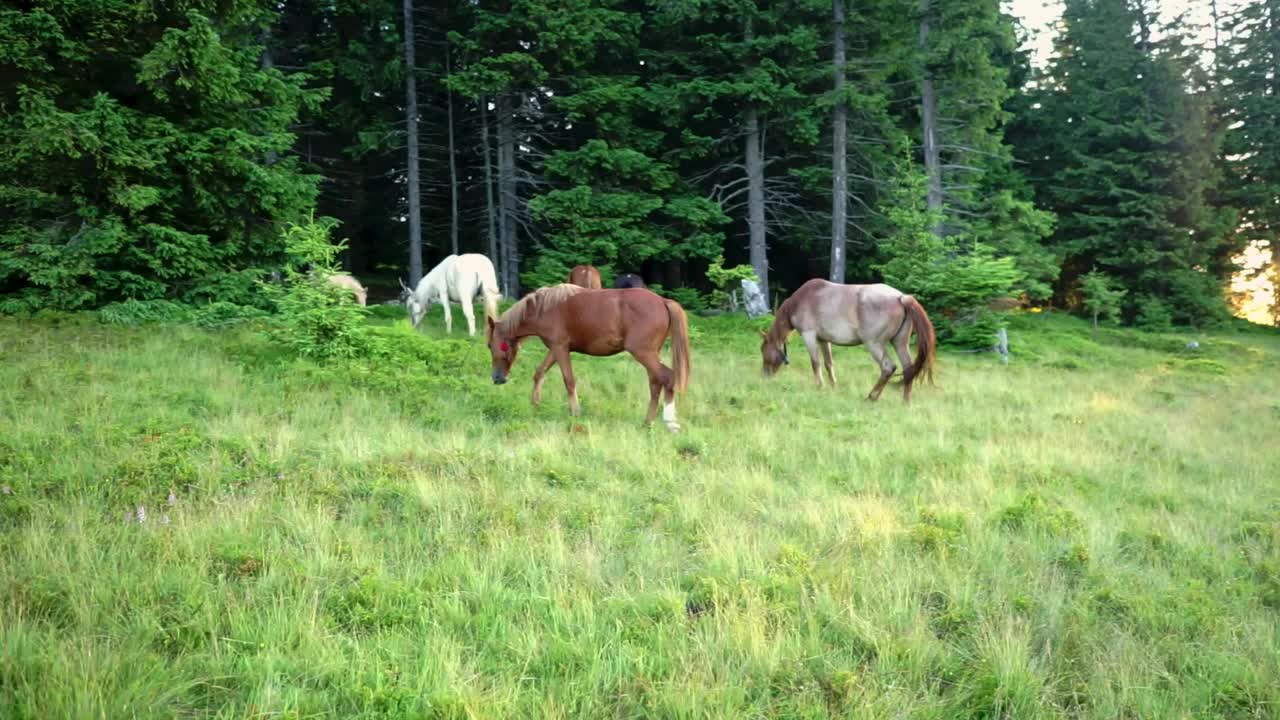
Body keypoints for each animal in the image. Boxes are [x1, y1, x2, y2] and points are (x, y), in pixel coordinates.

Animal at [486, 284, 691, 430]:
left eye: (490, 345)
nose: (497, 378)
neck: (544, 309)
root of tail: (663, 301)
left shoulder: (560, 348)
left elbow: (569, 380)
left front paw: (575, 412)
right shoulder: (555, 349)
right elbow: (540, 372)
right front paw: (535, 404)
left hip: (643, 353)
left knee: (666, 377)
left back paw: (669, 422)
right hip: (651, 354)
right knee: (656, 383)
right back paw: (648, 422)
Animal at [752, 275, 936, 397]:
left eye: (763, 350)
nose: (764, 375)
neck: (801, 300)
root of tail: (901, 298)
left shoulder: (809, 336)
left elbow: (815, 363)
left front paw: (819, 386)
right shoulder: (823, 340)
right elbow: (828, 364)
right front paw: (833, 386)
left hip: (874, 345)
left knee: (888, 368)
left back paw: (871, 397)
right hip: (900, 343)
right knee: (908, 368)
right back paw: (905, 401)